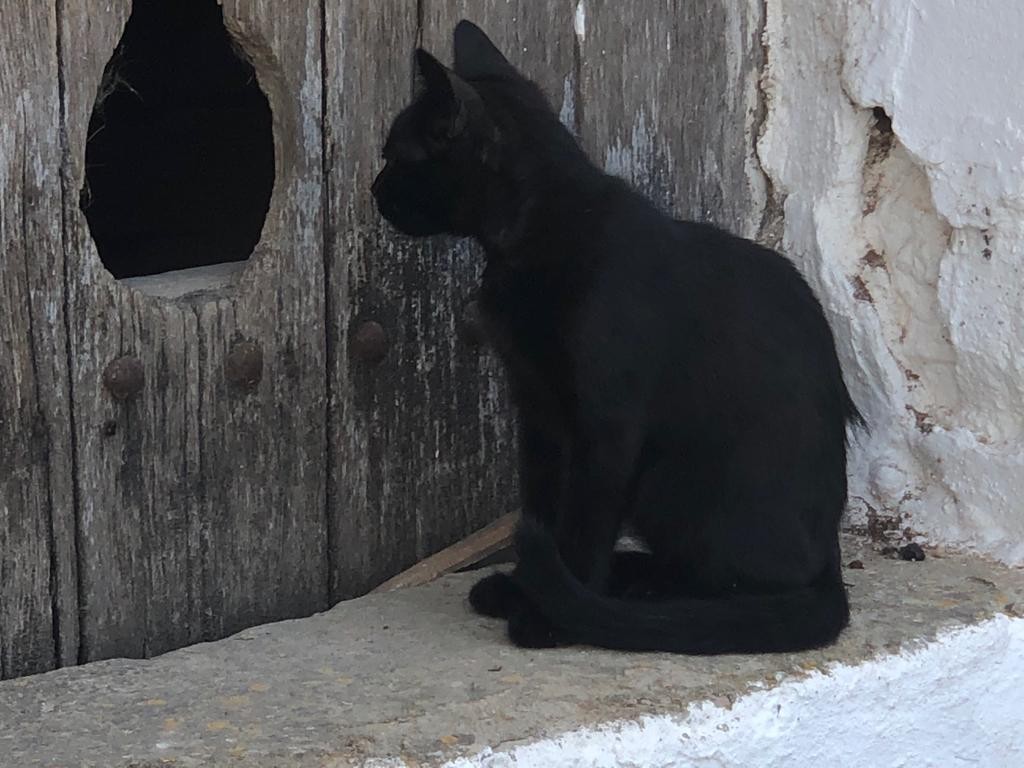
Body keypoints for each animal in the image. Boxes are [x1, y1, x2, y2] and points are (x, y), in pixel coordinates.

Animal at [372, 20, 860, 651]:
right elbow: (543, 506)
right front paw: (523, 587)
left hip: (667, 477)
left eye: (394, 156)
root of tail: (831, 557)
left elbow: (582, 523)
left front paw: (551, 613)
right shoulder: (537, 410)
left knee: (738, 583)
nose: (374, 188)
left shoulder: (606, 425)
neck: (534, 236)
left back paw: (632, 592)